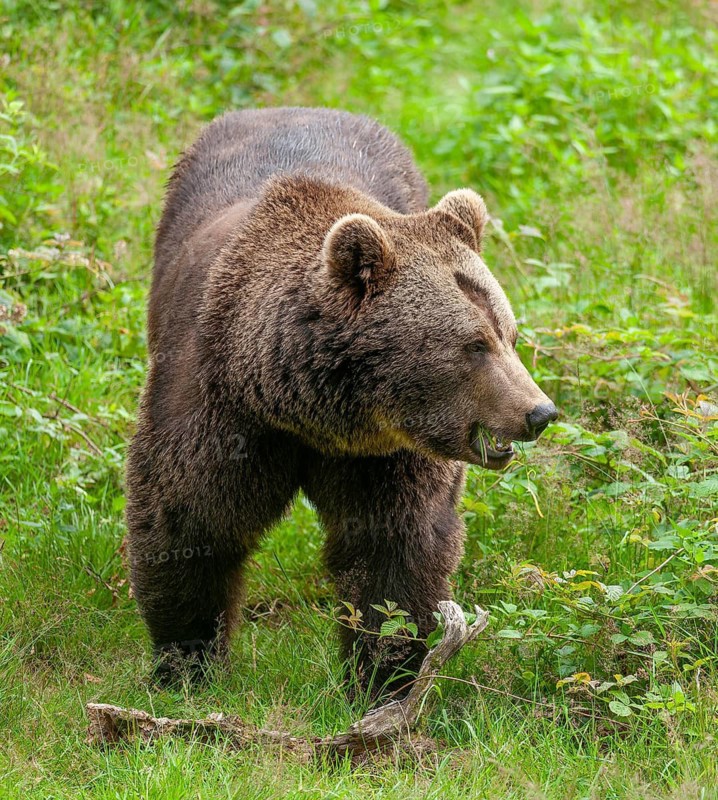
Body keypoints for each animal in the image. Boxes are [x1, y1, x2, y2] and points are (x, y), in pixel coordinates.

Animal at [126, 107, 557, 694]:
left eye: (509, 335)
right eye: (474, 345)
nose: (539, 412)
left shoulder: (383, 453)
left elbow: (393, 545)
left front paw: (386, 670)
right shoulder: (219, 404)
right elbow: (191, 516)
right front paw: (187, 658)